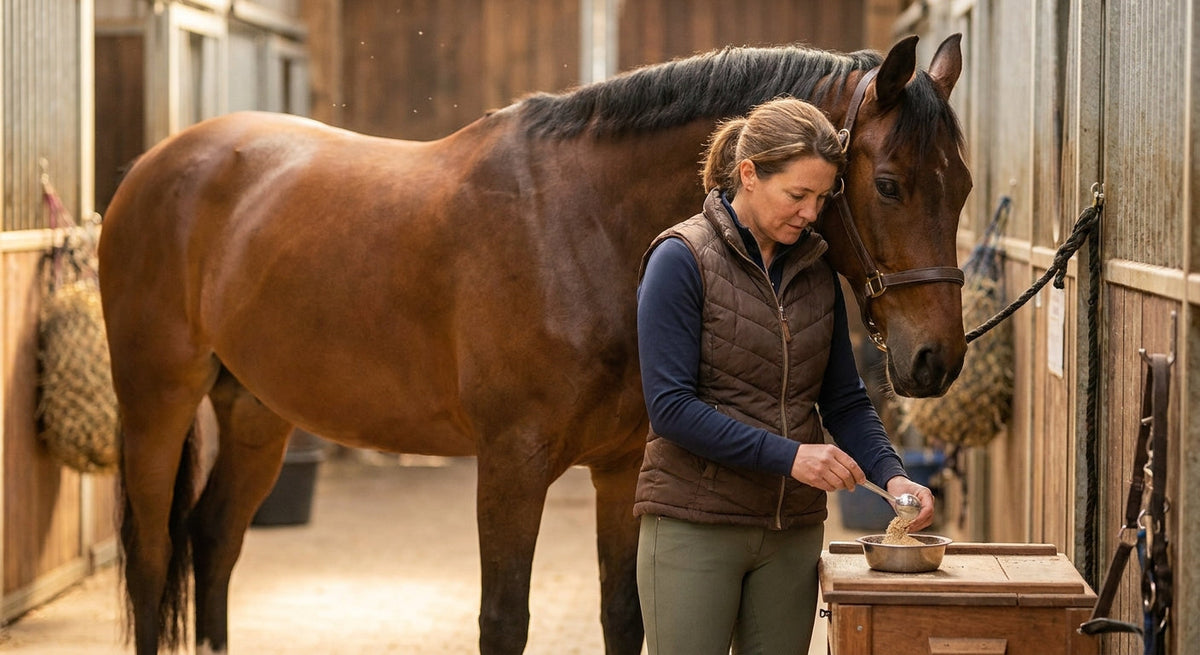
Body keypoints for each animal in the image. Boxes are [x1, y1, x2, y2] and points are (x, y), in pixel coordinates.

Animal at [99, 33, 969, 655]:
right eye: (888, 183)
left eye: (960, 186)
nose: (938, 358)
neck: (581, 223)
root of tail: (152, 167)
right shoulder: (511, 466)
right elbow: (503, 620)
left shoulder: (622, 467)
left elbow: (625, 613)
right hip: (155, 407)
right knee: (152, 560)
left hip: (255, 413)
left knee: (213, 544)